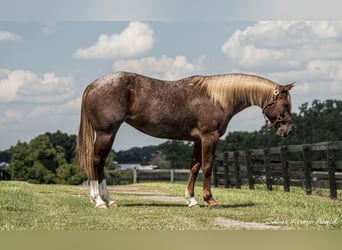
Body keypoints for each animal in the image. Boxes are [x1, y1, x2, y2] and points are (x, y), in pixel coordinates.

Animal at [77, 72, 294, 209]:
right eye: (284, 104)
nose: (287, 130)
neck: (216, 98)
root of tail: (93, 85)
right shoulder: (209, 137)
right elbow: (207, 167)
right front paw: (210, 201)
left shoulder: (198, 140)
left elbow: (194, 168)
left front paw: (191, 200)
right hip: (106, 133)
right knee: (95, 162)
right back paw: (99, 201)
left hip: (108, 134)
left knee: (100, 164)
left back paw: (109, 200)